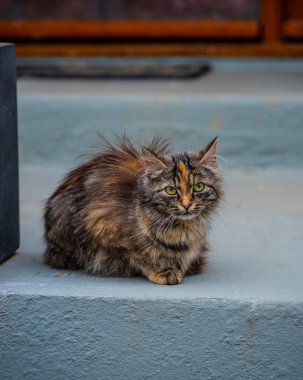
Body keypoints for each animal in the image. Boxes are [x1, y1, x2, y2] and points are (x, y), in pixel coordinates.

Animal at [43, 137, 223, 284]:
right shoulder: (99, 223)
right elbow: (138, 256)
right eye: (170, 190)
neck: (182, 230)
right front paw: (163, 271)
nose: (186, 205)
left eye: (198, 187)